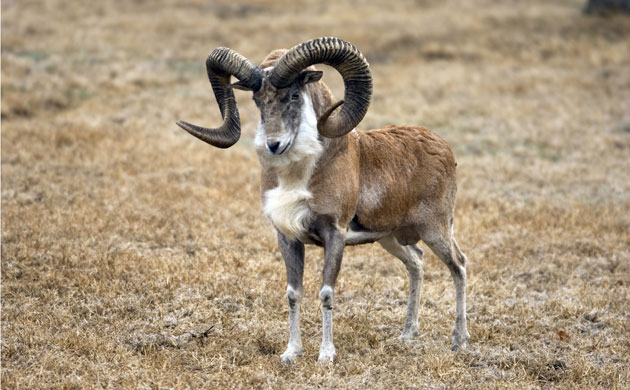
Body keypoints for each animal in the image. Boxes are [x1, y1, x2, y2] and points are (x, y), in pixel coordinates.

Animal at [177, 38, 470, 364]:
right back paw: (407, 335)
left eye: (294, 95)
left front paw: (326, 356)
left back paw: (459, 341)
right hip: (392, 239)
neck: (299, 176)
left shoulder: (335, 235)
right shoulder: (288, 238)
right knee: (416, 263)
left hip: (436, 230)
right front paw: (291, 353)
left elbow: (326, 292)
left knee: (459, 265)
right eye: (257, 100)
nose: (274, 144)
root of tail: (443, 148)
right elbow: (294, 293)